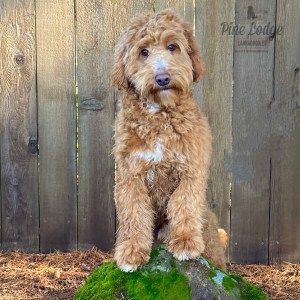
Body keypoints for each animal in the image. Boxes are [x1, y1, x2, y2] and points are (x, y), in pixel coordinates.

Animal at [111, 9, 226, 272]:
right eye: (143, 51)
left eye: (172, 46)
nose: (163, 78)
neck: (159, 116)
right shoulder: (130, 174)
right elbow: (134, 211)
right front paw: (132, 250)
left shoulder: (191, 169)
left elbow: (183, 203)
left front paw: (184, 241)